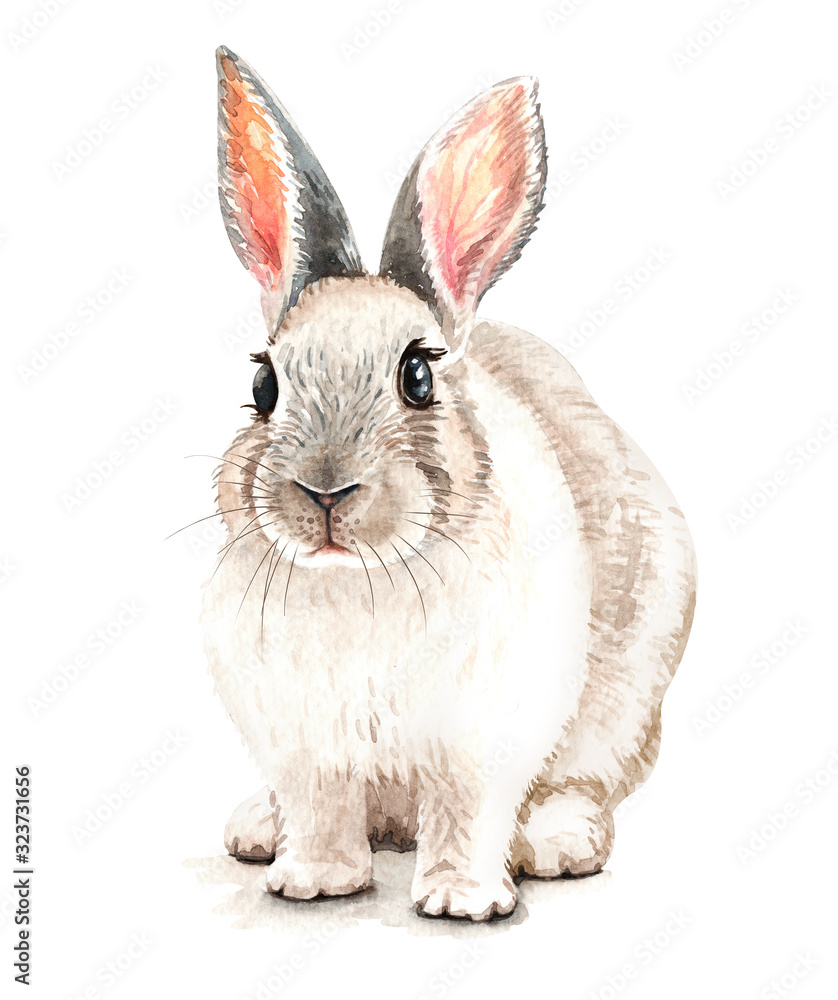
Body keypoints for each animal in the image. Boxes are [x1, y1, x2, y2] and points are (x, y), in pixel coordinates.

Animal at [202, 45, 697, 922]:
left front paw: (463, 900)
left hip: (627, 704)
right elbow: (322, 808)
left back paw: (556, 844)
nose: (326, 493)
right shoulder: (305, 744)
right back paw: (258, 829)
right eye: (263, 385)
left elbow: (471, 807)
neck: (360, 580)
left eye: (419, 376)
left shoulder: (485, 734)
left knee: (582, 786)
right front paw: (314, 881)